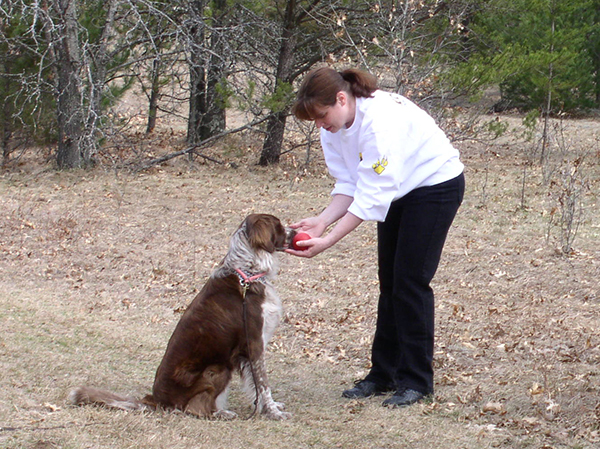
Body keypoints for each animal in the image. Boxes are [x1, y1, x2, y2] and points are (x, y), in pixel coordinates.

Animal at [69, 214, 294, 420]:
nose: (294, 232)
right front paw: (274, 412)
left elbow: (256, 385)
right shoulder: (253, 343)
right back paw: (221, 413)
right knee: (195, 409)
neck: (247, 273)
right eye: (278, 225)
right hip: (217, 368)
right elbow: (263, 384)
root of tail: (155, 400)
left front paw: (269, 407)